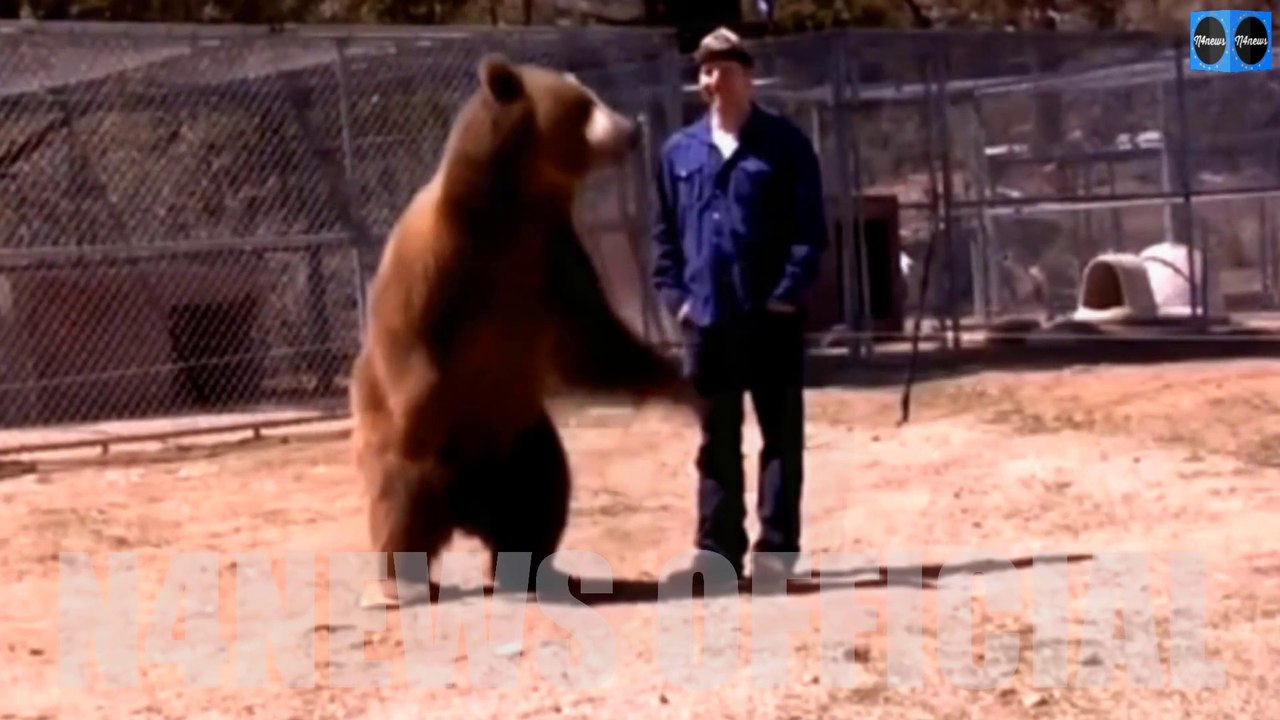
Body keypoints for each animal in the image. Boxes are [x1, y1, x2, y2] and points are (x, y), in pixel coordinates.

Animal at [349, 53, 700, 609]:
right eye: (583, 103)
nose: (630, 130)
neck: (515, 204)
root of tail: (467, 507)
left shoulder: (551, 257)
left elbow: (594, 343)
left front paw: (681, 386)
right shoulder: (441, 257)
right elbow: (407, 337)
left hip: (519, 441)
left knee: (541, 496)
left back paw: (530, 570)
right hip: (437, 446)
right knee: (404, 500)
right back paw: (398, 582)